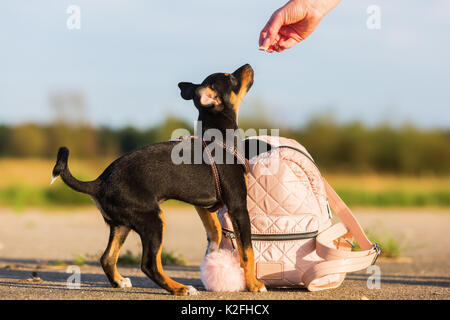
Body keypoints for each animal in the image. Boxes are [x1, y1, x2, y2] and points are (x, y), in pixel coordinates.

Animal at [51, 63, 266, 296]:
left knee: (107, 258)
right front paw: (254, 284)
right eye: (231, 78)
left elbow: (215, 232)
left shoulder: (203, 206)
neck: (219, 140)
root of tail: (99, 182)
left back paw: (120, 282)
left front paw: (213, 256)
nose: (248, 65)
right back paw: (180, 288)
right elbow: (247, 251)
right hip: (153, 220)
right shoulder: (238, 207)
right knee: (149, 263)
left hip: (122, 225)